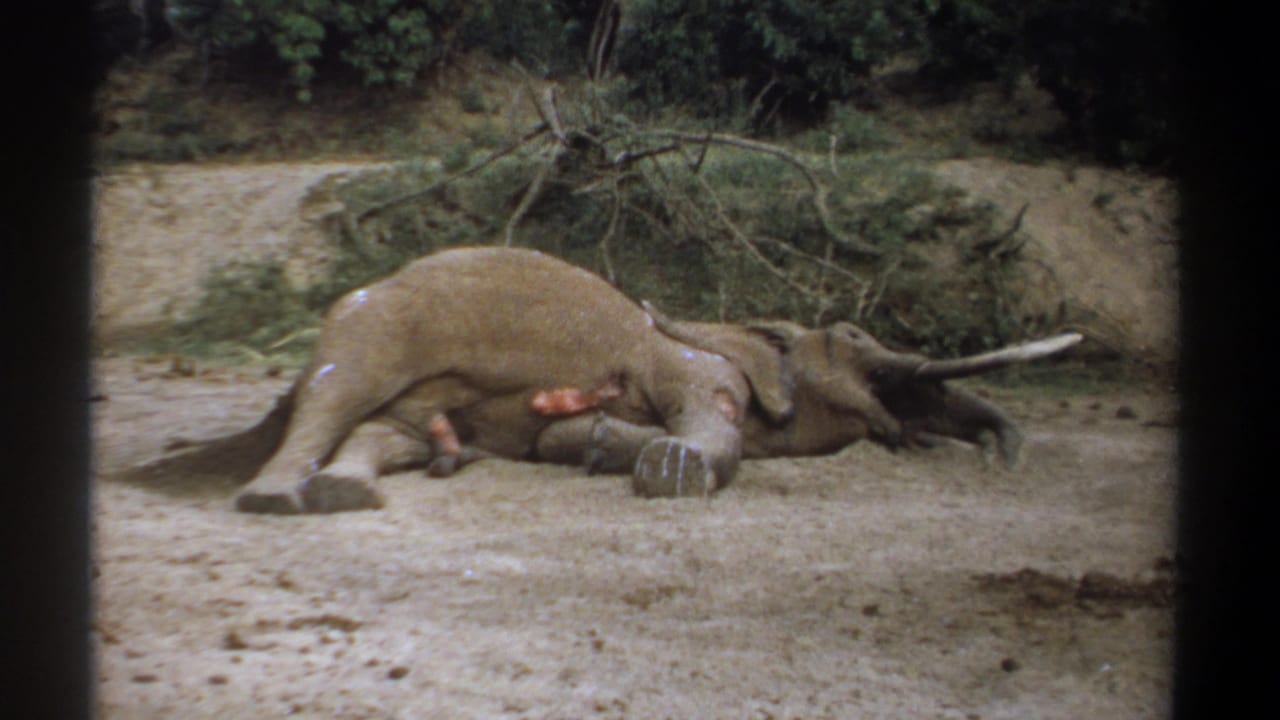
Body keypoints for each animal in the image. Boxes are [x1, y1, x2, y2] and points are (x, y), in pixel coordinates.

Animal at [231, 245, 1081, 513]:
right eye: (854, 339)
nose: (1002, 461)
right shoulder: (697, 364)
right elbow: (707, 418)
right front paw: (672, 469)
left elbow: (559, 437)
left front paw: (598, 443)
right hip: (376, 324)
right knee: (336, 395)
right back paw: (273, 498)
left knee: (388, 430)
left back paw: (354, 489)